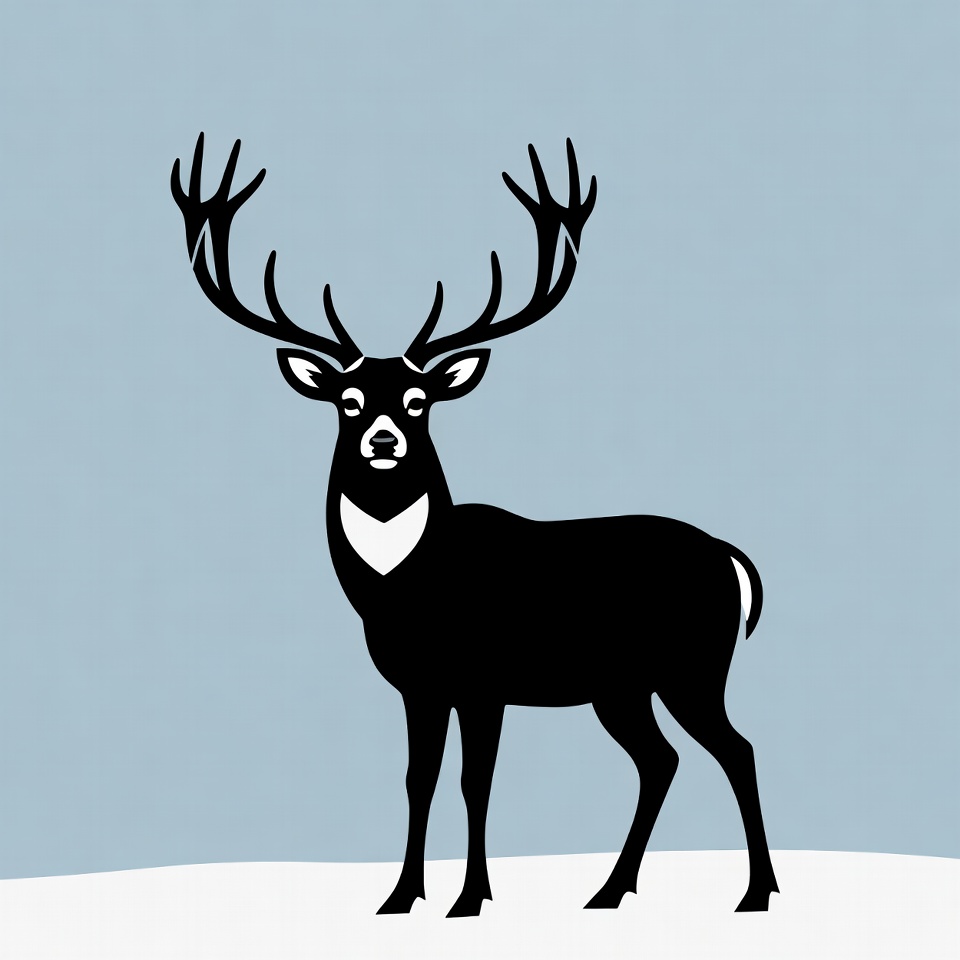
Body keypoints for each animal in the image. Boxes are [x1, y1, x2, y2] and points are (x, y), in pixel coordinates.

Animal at [170, 133, 779, 919]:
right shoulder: (418, 685)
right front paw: (400, 897)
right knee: (661, 759)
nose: (385, 441)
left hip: (693, 664)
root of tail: (730, 557)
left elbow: (475, 781)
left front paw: (469, 899)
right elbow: (418, 780)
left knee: (736, 748)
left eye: (420, 399)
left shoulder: (484, 677)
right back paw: (609, 891)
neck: (410, 590)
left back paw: (755, 893)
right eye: (348, 399)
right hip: (623, 686)